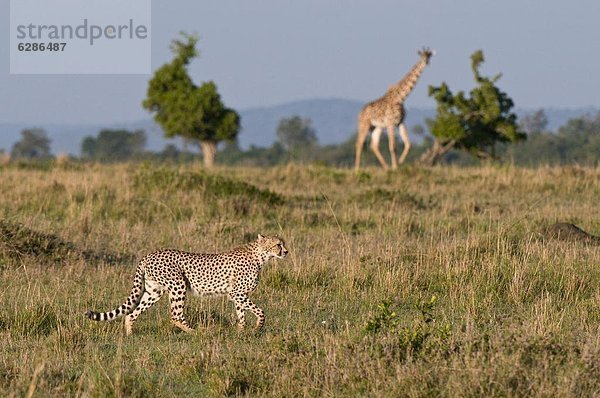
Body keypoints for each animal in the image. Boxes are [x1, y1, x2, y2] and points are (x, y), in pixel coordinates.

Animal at [85, 235, 290, 334]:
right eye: (278, 244)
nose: (286, 252)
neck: (261, 256)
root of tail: (148, 255)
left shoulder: (238, 295)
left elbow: (241, 315)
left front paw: (241, 332)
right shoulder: (237, 293)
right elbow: (261, 311)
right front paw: (257, 327)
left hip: (153, 291)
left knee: (131, 313)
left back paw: (129, 334)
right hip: (178, 285)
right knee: (175, 315)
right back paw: (196, 332)